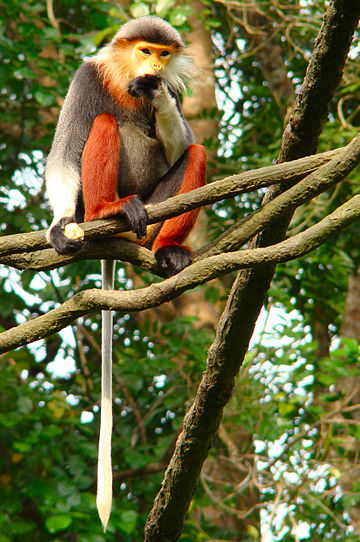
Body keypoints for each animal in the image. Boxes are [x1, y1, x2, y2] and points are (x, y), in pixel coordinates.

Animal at [45, 15, 205, 532]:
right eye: (144, 50)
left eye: (162, 54)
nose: (153, 67)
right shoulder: (83, 80)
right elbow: (63, 154)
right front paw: (58, 225)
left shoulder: (170, 97)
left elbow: (180, 140)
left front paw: (155, 94)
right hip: (96, 198)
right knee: (102, 122)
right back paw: (106, 210)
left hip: (155, 210)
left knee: (195, 152)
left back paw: (168, 250)